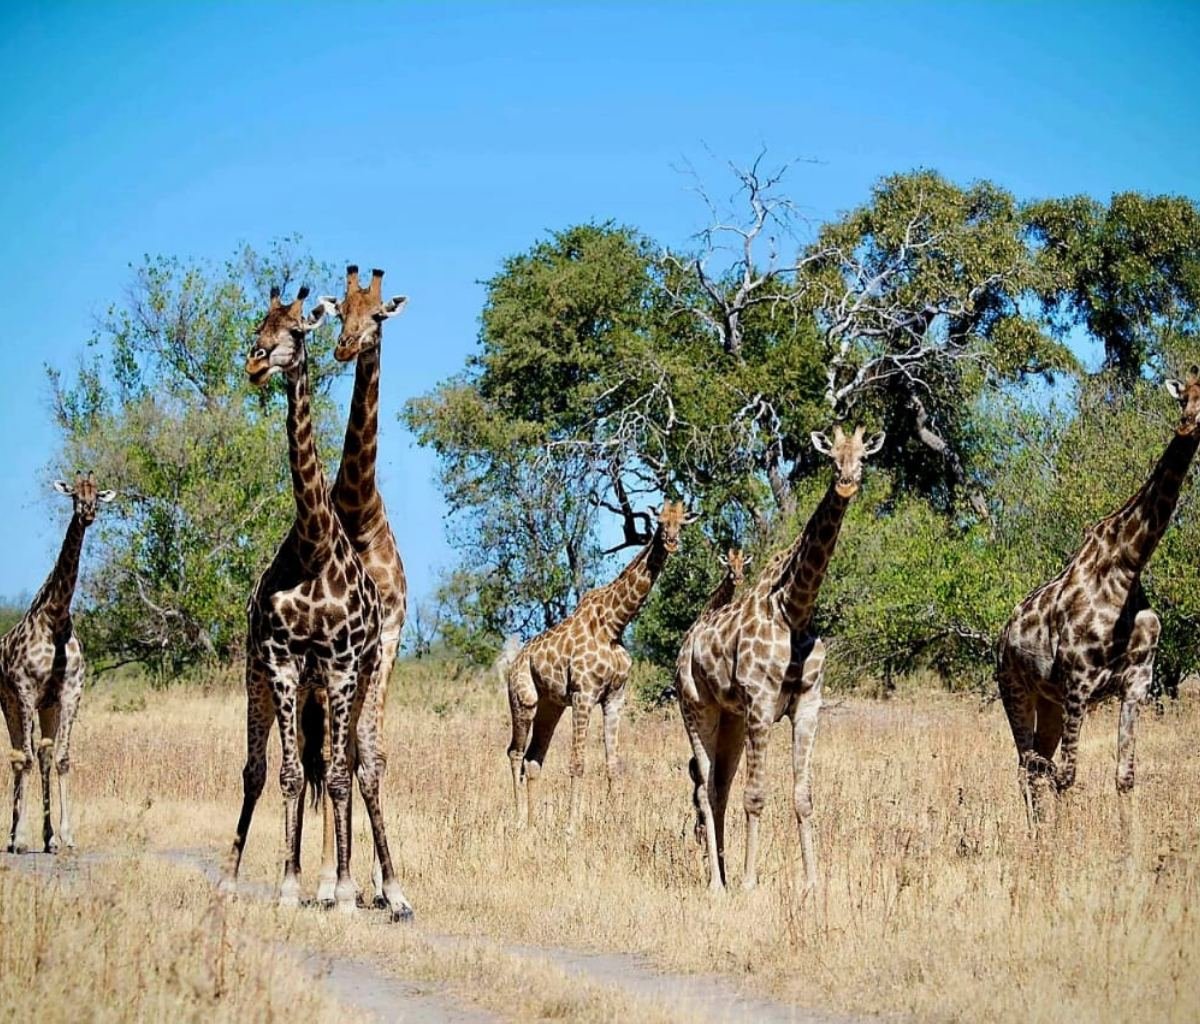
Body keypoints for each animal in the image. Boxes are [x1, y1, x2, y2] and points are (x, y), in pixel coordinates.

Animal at [0, 472, 114, 854]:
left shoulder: (69, 693)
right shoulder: (24, 689)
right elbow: (25, 758)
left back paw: (48, 838)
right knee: (19, 755)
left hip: (46, 706)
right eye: (74, 496)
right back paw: (13, 837)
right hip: (9, 702)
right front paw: (20, 838)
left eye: (97, 495)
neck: (55, 618)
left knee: (44, 756)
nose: (88, 512)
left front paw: (66, 836)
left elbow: (61, 759)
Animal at [220, 285, 412, 921]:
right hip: (266, 676)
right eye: (258, 324)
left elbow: (343, 770)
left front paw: (349, 890)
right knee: (267, 768)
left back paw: (376, 887)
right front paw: (290, 885)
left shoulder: (347, 662)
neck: (314, 542)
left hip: (352, 675)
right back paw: (241, 878)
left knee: (352, 760)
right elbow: (286, 773)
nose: (256, 361)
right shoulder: (282, 661)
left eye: (296, 331)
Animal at [507, 501, 694, 828]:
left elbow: (613, 763)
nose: (671, 542)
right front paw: (571, 826)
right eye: (660, 522)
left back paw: (533, 824)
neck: (614, 624)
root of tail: (512, 665)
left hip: (550, 706)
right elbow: (578, 762)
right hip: (524, 699)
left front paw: (616, 821)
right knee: (515, 753)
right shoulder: (584, 694)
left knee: (533, 759)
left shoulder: (614, 697)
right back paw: (518, 820)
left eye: (681, 523)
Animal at [677, 426, 883, 894]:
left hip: (732, 720)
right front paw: (751, 884)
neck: (794, 609)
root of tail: (684, 647)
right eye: (831, 458)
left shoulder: (808, 703)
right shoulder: (760, 701)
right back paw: (718, 883)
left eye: (862, 457)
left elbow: (803, 797)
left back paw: (724, 873)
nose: (847, 482)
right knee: (705, 788)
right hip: (697, 707)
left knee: (719, 786)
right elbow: (756, 796)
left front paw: (812, 883)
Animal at [997, 372, 1200, 822]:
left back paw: (1040, 828)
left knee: (1036, 763)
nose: (1188, 425)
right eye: (1185, 399)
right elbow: (1068, 776)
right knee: (1028, 765)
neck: (1128, 563)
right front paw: (1066, 839)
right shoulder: (1079, 682)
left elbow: (1124, 777)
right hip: (1015, 688)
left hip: (1049, 702)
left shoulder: (1138, 682)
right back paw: (1036, 832)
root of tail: (1003, 635)